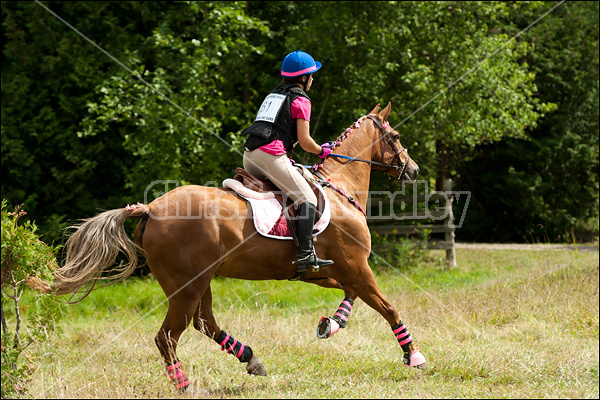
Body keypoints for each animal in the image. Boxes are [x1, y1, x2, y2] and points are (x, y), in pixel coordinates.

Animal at [27, 101, 422, 392]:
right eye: (395, 135)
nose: (414, 170)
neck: (340, 189)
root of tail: (150, 208)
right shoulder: (357, 267)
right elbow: (388, 307)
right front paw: (413, 355)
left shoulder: (328, 272)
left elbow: (351, 295)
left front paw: (332, 324)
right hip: (187, 286)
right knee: (168, 336)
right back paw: (186, 386)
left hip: (199, 281)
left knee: (204, 322)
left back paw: (250, 358)